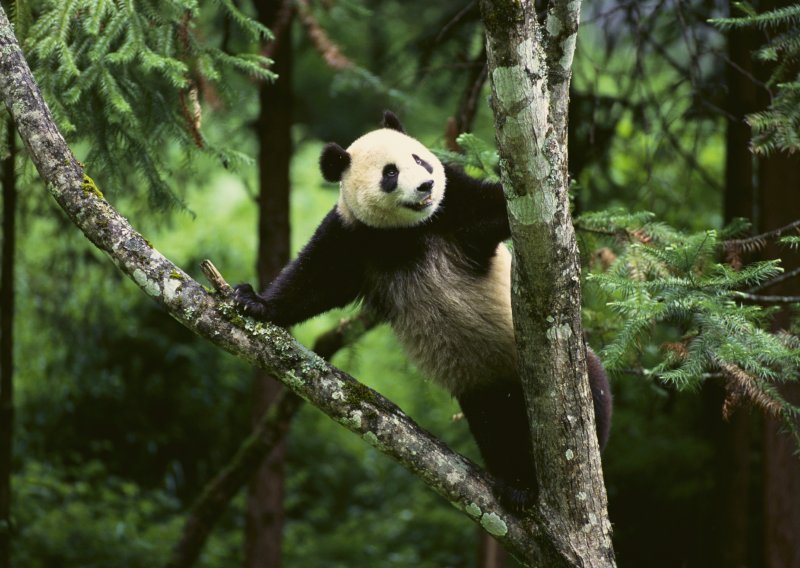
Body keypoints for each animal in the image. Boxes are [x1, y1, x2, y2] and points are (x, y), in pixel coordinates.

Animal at [233, 110, 612, 506]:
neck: (409, 231)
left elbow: (499, 208)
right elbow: (314, 280)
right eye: (390, 173)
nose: (426, 186)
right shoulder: (353, 235)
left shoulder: (456, 201)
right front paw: (255, 302)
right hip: (484, 386)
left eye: (419, 160)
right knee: (496, 426)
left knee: (593, 388)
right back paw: (517, 483)